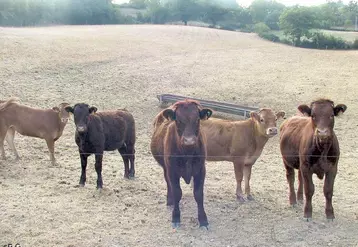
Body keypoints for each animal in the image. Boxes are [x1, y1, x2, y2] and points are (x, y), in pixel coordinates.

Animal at [150, 99, 213, 230]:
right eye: (178, 120)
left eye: (197, 119)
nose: (189, 141)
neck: (187, 153)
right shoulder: (172, 171)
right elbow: (177, 193)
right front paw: (176, 217)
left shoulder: (201, 170)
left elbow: (199, 194)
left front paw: (203, 220)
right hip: (165, 168)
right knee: (168, 183)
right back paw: (169, 201)